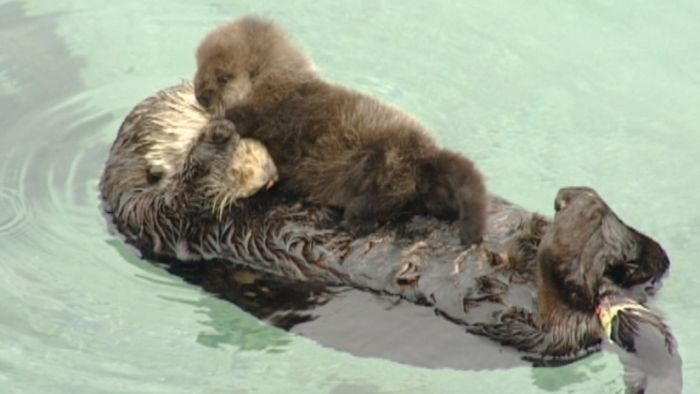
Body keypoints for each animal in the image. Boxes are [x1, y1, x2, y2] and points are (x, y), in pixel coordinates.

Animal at [191, 17, 486, 246]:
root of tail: (427, 153)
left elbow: (246, 119)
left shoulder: (272, 110)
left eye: (224, 78)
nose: (200, 94)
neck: (279, 85)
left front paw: (219, 121)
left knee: (388, 198)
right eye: (199, 66)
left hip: (387, 164)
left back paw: (355, 219)